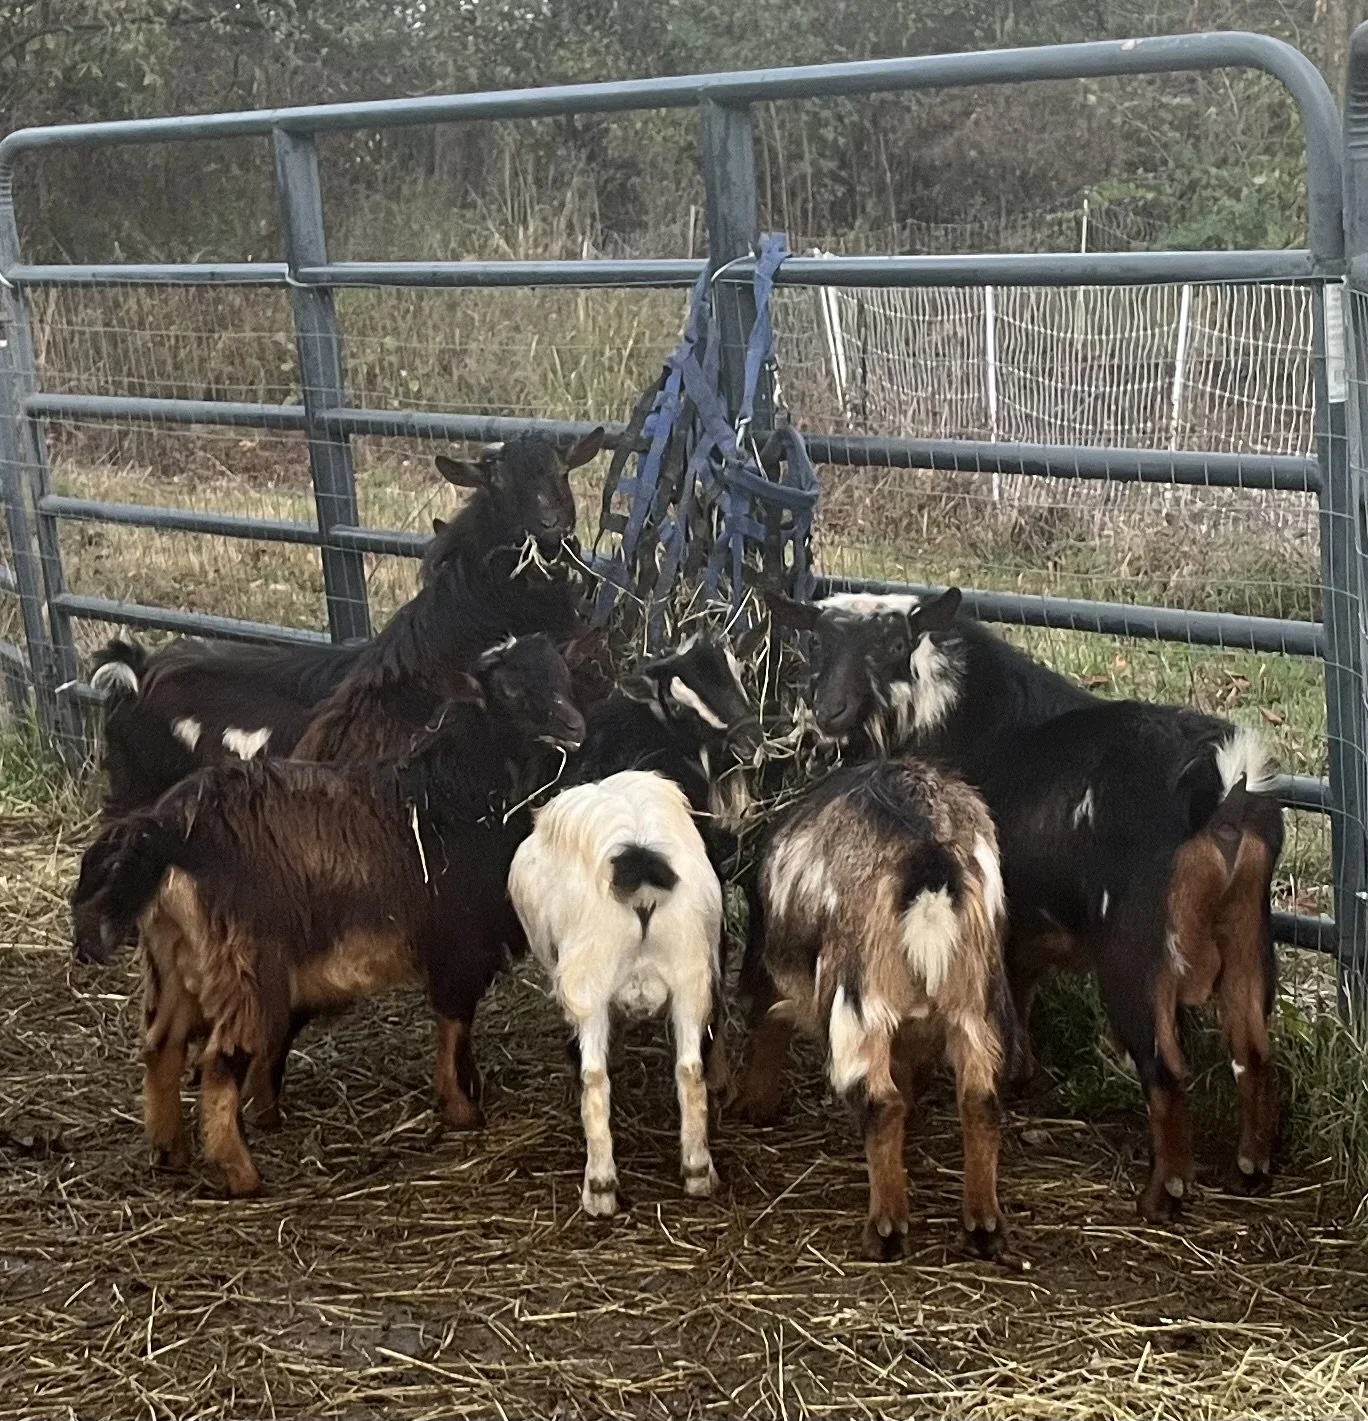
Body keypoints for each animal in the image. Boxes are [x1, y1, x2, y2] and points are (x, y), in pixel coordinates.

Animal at [71, 634, 585, 1193]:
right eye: (510, 688)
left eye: (563, 674)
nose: (575, 727)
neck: (454, 793)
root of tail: (163, 831)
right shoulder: (457, 942)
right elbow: (453, 1027)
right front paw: (462, 1110)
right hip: (244, 965)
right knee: (220, 1062)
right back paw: (241, 1173)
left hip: (177, 959)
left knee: (162, 1046)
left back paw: (170, 1152)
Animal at [508, 770, 723, 1216]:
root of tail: (639, 864)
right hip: (690, 971)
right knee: (690, 1071)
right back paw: (697, 1171)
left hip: (587, 978)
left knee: (594, 1079)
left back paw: (600, 1187)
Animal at [755, 758, 1011, 1260]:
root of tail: (929, 856)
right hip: (978, 1000)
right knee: (980, 1099)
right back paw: (983, 1224)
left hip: (858, 999)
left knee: (880, 1103)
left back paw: (887, 1228)